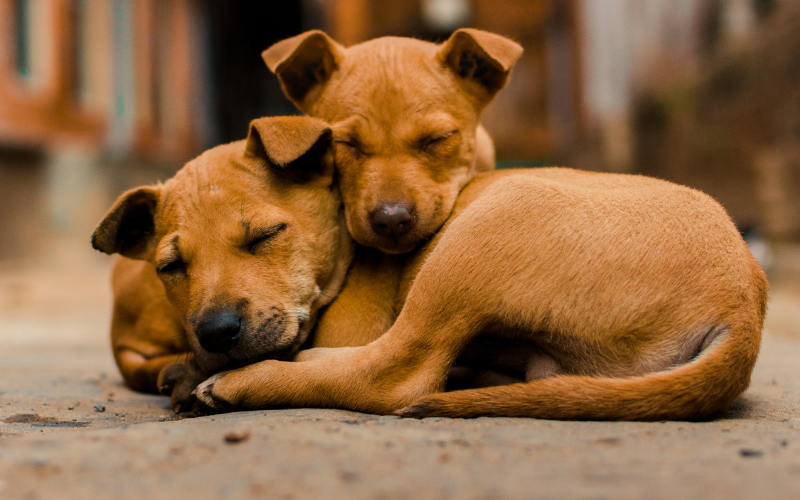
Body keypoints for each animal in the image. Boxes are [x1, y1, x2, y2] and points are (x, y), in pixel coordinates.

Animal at [94, 115, 768, 420]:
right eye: (171, 266)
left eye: (265, 235)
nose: (215, 334)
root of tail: (745, 302)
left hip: (485, 232)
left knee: (398, 375)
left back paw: (238, 381)